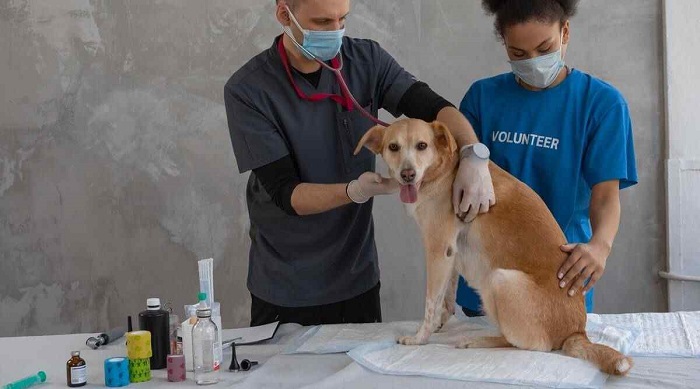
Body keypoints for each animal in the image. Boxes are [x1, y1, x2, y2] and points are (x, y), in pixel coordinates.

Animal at [356, 116, 636, 374]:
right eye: (393, 147)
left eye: (422, 145)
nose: (407, 175)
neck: (443, 171)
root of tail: (577, 333)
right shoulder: (451, 254)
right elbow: (446, 298)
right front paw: (439, 324)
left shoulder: (438, 250)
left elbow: (430, 302)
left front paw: (419, 338)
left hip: (500, 279)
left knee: (530, 344)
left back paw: (478, 340)